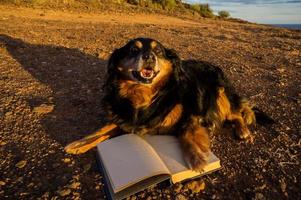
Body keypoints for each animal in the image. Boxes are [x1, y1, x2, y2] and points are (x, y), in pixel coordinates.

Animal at [65, 37, 255, 170]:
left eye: (159, 51)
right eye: (133, 49)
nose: (149, 57)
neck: (144, 94)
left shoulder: (192, 113)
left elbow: (186, 132)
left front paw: (195, 156)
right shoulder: (125, 118)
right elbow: (104, 129)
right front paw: (79, 143)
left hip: (220, 93)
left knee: (236, 113)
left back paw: (243, 130)